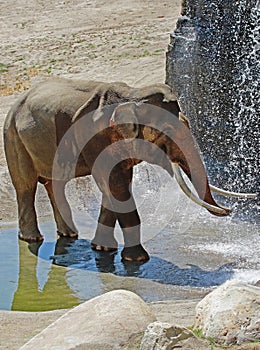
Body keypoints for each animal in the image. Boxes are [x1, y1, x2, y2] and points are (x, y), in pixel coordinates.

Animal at [4, 78, 256, 262]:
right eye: (166, 129)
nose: (230, 210)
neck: (132, 95)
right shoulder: (97, 140)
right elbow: (115, 186)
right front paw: (137, 260)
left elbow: (115, 188)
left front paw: (103, 249)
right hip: (13, 136)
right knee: (26, 185)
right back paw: (32, 239)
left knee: (53, 183)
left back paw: (69, 234)